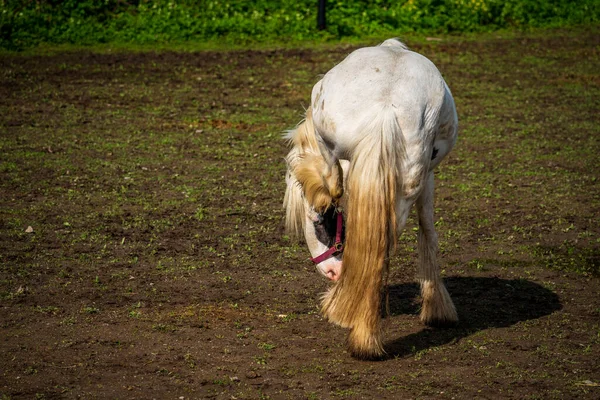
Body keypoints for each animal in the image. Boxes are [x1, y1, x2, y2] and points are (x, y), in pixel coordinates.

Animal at [284, 39, 458, 360]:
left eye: (317, 218)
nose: (331, 272)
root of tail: (385, 109)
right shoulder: (427, 176)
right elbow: (428, 231)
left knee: (335, 185)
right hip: (408, 182)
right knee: (381, 247)